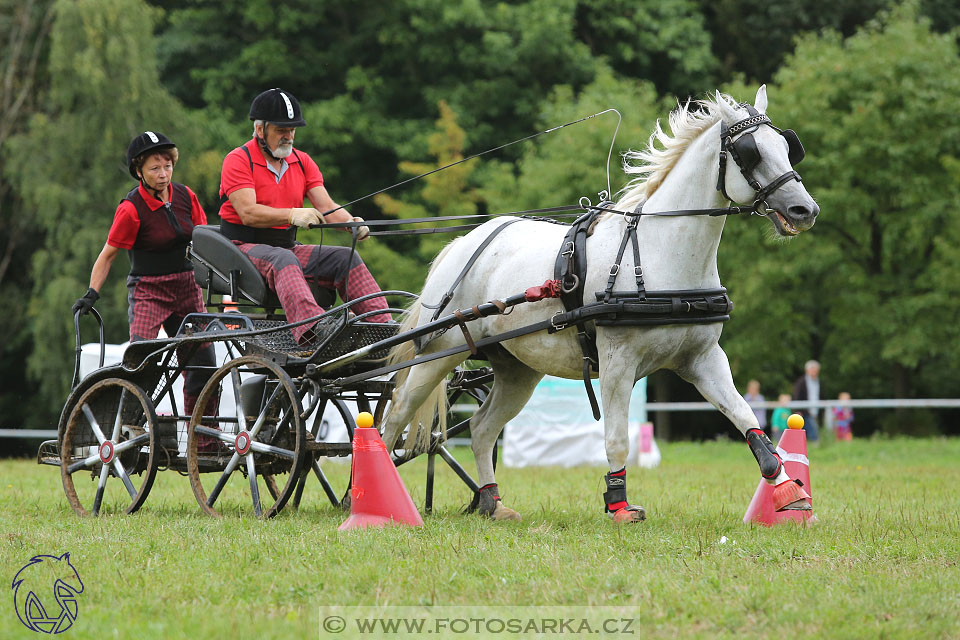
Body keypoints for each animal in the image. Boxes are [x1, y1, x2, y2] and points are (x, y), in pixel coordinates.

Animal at [378, 87, 812, 524]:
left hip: (518, 369)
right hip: (439, 351)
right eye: (750, 152)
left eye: (787, 147)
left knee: (483, 428)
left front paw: (788, 489)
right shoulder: (618, 362)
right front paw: (618, 504)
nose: (805, 210)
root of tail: (462, 243)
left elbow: (746, 419)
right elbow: (617, 439)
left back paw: (491, 503)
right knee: (396, 414)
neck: (659, 255)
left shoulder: (702, 359)